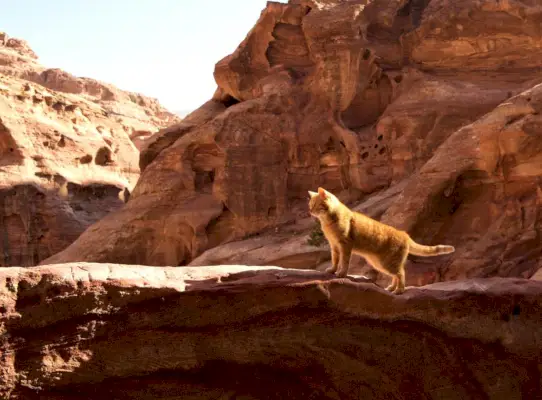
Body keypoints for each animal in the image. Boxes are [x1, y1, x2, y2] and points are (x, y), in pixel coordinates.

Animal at [308, 188, 456, 294]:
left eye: (315, 205)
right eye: (310, 205)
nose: (310, 211)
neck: (328, 221)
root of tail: (405, 235)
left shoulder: (345, 245)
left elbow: (344, 262)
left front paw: (341, 274)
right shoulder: (334, 246)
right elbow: (335, 260)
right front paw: (332, 270)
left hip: (388, 263)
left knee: (401, 273)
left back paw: (399, 291)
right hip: (380, 263)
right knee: (396, 275)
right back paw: (391, 288)